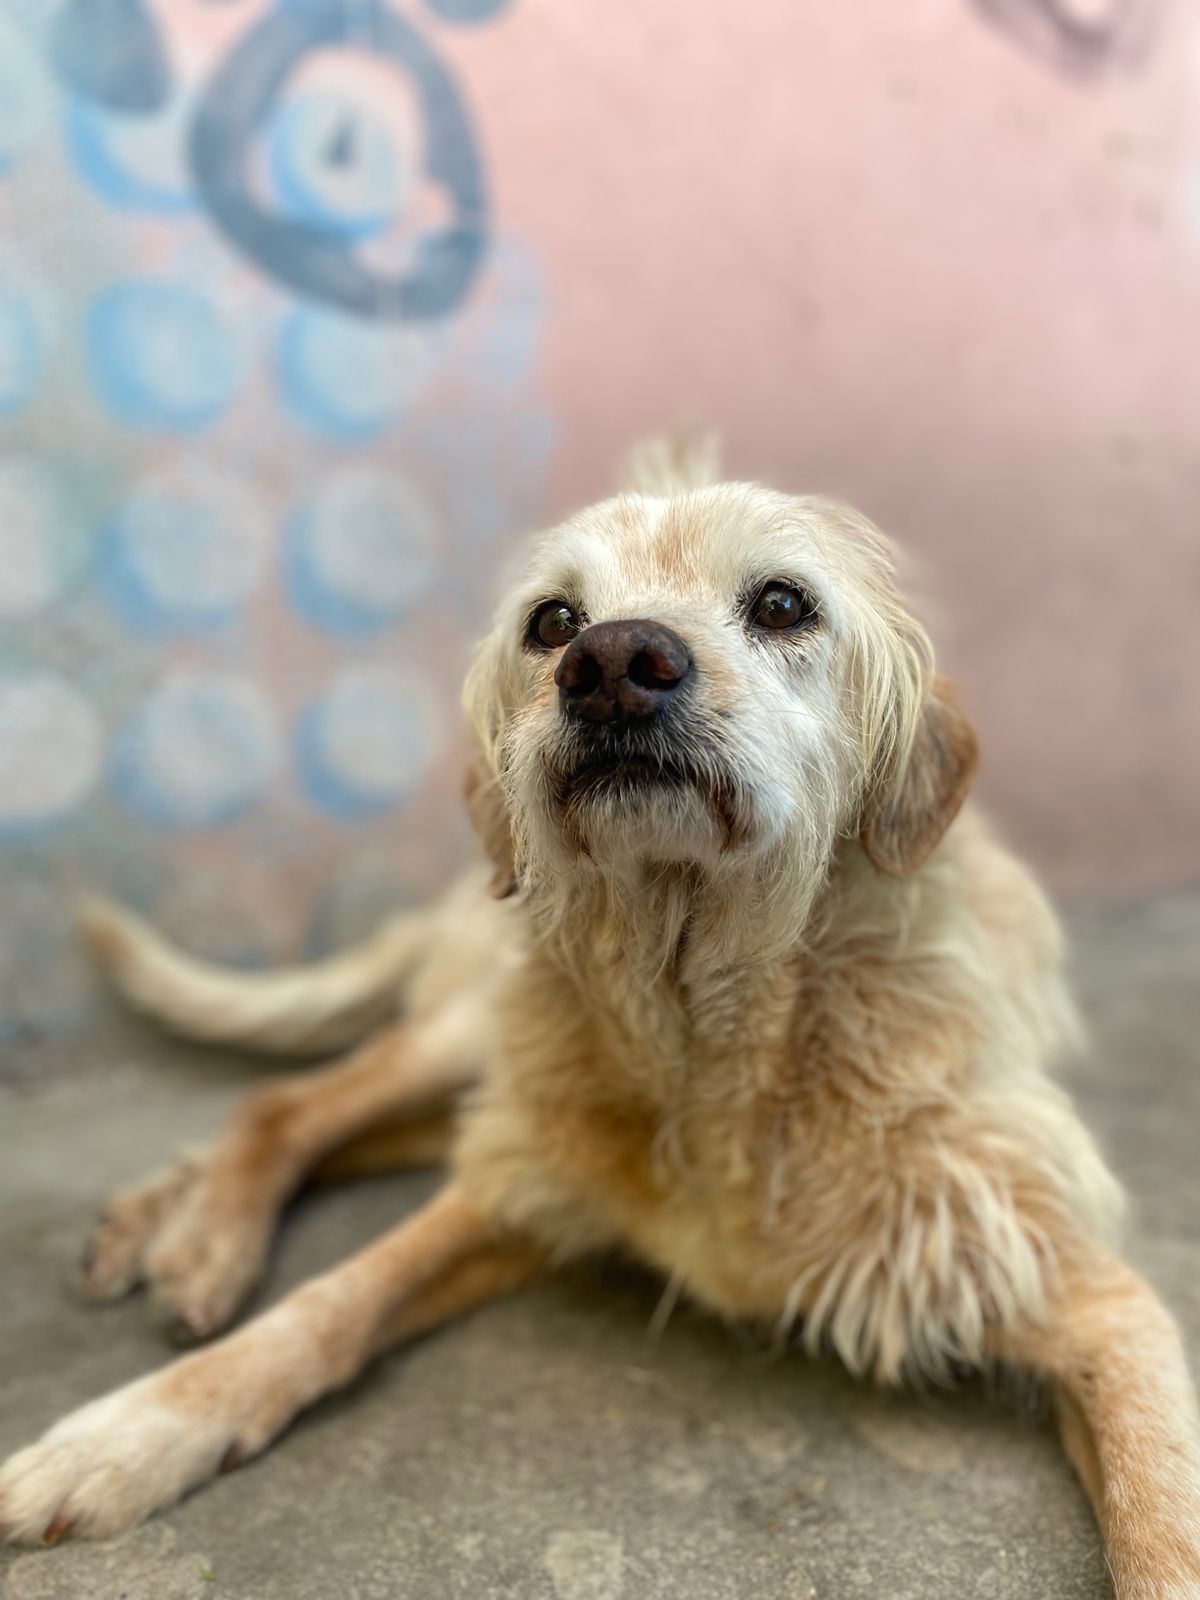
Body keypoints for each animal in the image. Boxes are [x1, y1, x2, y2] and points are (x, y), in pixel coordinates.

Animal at [2, 438, 1198, 1596]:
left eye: (783, 603)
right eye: (553, 622)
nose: (615, 664)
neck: (711, 1034)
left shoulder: (1081, 1289)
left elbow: (1160, 1514)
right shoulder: (517, 1185)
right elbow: (327, 1305)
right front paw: (121, 1436)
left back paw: (161, 1224)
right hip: (483, 1031)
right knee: (295, 1102)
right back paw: (199, 1239)